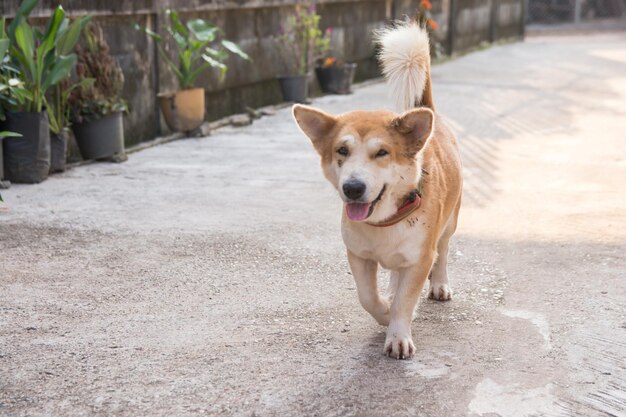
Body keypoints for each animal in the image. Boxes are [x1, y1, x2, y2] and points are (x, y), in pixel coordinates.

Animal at [292, 22, 458, 358]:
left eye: (382, 153)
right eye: (342, 150)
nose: (353, 188)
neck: (385, 220)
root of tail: (430, 115)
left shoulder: (420, 258)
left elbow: (406, 300)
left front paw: (397, 333)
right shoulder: (358, 255)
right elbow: (367, 296)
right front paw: (384, 310)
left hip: (451, 223)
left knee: (443, 251)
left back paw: (439, 283)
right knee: (394, 274)